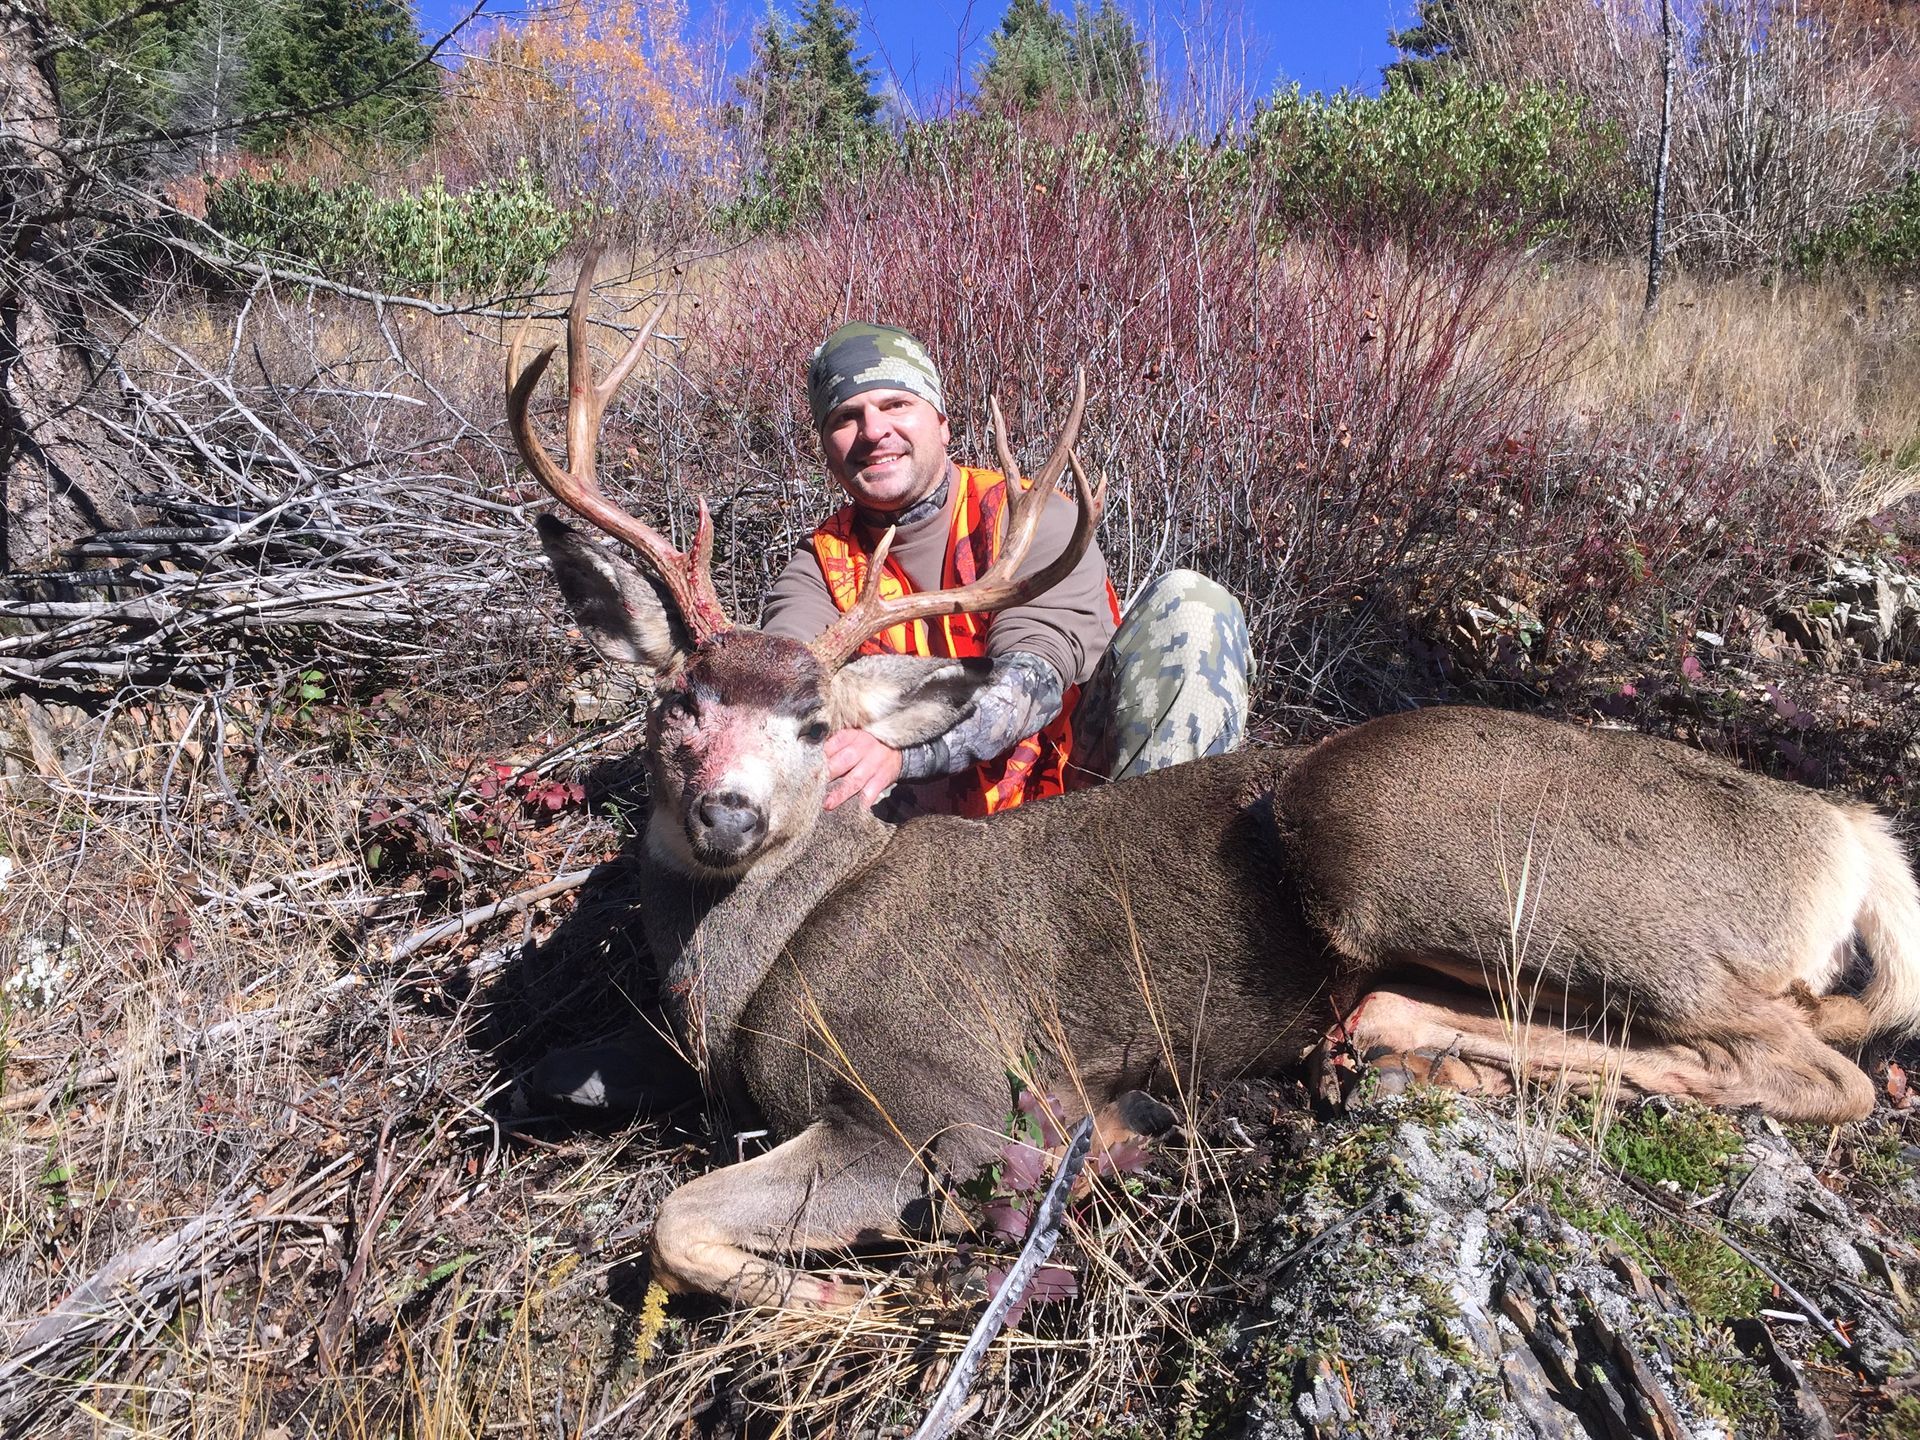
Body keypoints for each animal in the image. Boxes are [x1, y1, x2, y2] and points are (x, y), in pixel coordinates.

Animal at [505, 257, 1920, 1309]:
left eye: (814, 726)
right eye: (679, 702)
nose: (727, 810)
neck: (766, 966)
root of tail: (1851, 836)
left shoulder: (950, 1098)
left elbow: (678, 1219)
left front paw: (828, 1298)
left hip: (1400, 833)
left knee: (1812, 1069)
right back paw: (1392, 1050)